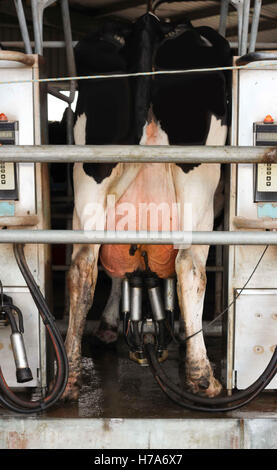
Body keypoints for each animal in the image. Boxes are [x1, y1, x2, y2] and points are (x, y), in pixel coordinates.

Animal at [63, 11, 231, 400]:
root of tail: (150, 21)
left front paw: (108, 326)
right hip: (197, 186)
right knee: (189, 264)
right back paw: (202, 376)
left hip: (89, 178)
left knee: (83, 267)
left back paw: (71, 377)